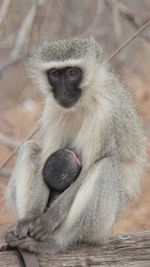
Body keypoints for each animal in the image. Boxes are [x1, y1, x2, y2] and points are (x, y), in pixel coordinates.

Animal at [5, 36, 146, 254]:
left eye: (72, 73)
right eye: (55, 73)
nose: (63, 91)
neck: (81, 103)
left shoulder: (104, 114)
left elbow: (86, 169)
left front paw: (48, 220)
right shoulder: (52, 108)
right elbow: (44, 162)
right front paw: (29, 218)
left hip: (101, 227)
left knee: (106, 166)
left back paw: (54, 242)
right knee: (29, 149)